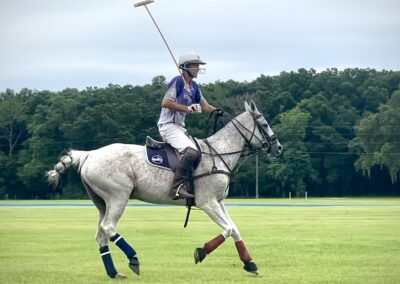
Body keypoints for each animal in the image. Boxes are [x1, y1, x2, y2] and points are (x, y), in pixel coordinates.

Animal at [47, 101, 282, 278]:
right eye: (264, 123)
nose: (278, 148)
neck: (218, 153)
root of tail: (89, 154)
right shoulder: (207, 202)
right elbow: (228, 229)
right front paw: (201, 252)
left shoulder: (219, 201)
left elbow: (235, 229)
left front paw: (250, 264)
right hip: (118, 196)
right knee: (108, 227)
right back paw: (133, 258)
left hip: (101, 202)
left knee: (101, 234)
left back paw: (114, 273)